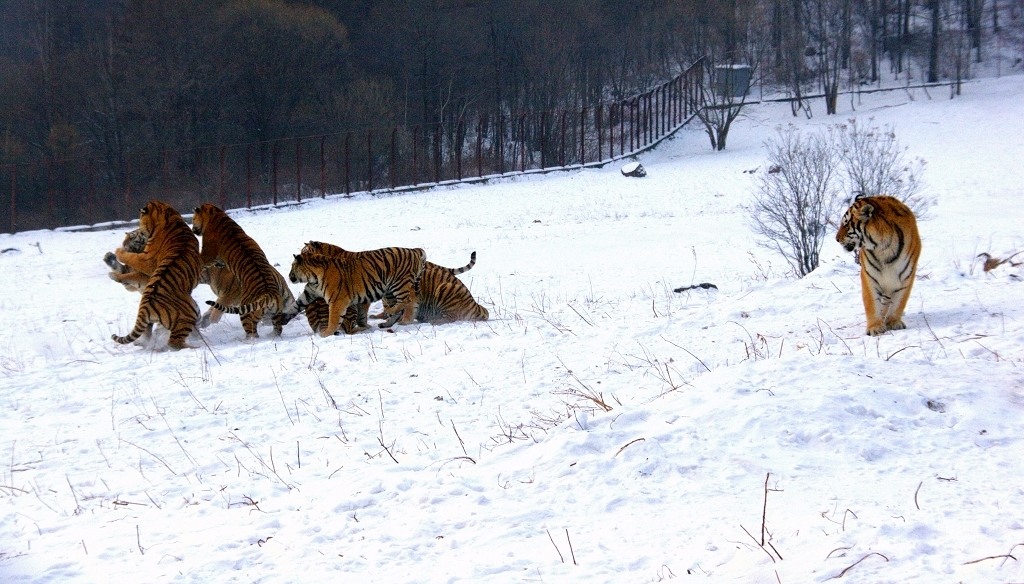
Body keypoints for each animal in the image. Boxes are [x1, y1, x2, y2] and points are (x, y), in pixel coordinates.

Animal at [111, 198, 202, 350]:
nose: (137, 228)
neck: (170, 217)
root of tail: (145, 308)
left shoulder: (147, 260)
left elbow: (131, 258)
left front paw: (119, 251)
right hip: (190, 310)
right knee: (173, 341)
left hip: (190, 311)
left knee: (174, 342)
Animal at [190, 201, 294, 336]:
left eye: (193, 219)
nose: (192, 229)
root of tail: (269, 294)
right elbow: (214, 306)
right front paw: (205, 319)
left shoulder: (227, 291)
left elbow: (217, 310)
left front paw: (211, 319)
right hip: (278, 310)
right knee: (277, 327)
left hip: (247, 313)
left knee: (252, 331)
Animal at [288, 246, 428, 336]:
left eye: (292, 267)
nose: (289, 276)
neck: (313, 278)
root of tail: (415, 250)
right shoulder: (309, 293)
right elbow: (295, 306)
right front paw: (284, 316)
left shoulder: (337, 301)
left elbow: (334, 319)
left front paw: (326, 333)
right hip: (390, 291)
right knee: (401, 305)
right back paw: (386, 323)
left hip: (399, 283)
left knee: (406, 300)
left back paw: (396, 315)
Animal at [835, 193, 925, 334]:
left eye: (846, 225)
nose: (837, 239)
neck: (883, 247)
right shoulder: (869, 276)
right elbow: (871, 302)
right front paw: (875, 327)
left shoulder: (906, 277)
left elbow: (899, 302)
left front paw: (894, 322)